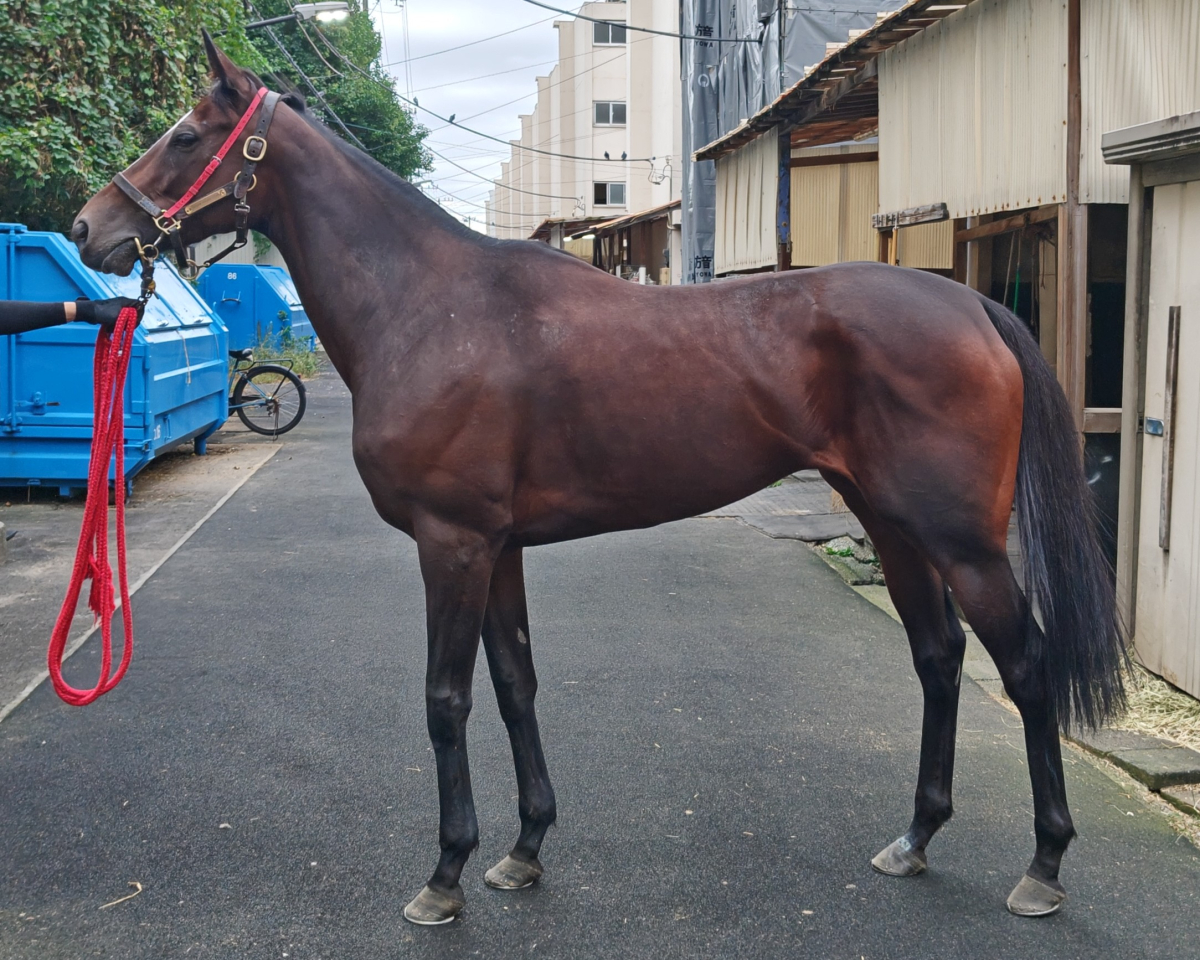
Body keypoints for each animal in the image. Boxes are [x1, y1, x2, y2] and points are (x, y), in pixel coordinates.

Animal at [72, 34, 1125, 924]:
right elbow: (515, 685)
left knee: (1025, 667)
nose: (89, 228)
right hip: (892, 522)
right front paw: (523, 849)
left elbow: (445, 699)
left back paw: (1043, 867)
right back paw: (914, 838)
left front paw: (445, 875)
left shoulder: (452, 544)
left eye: (187, 135)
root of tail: (973, 304)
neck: (428, 306)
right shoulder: (495, 548)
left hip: (963, 541)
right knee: (939, 658)